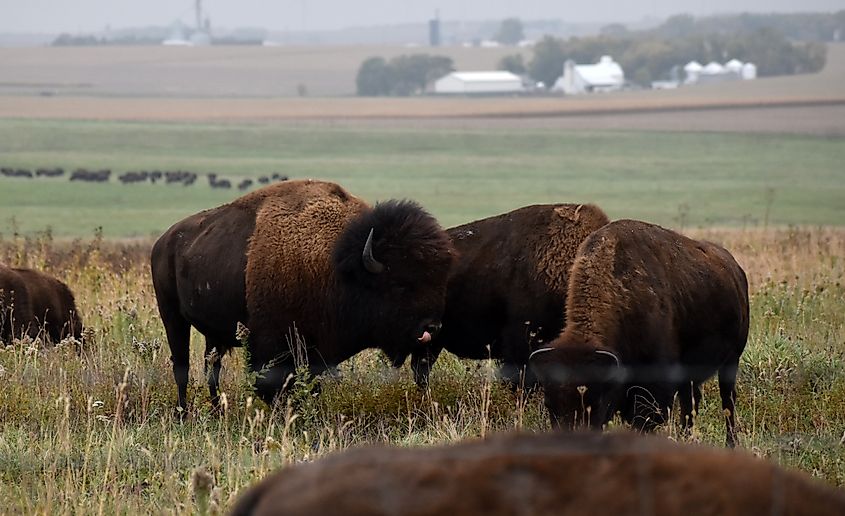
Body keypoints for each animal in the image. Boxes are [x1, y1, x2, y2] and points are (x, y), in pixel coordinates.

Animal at [151, 179, 455, 410]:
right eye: (400, 284)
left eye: (439, 282)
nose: (432, 327)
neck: (337, 265)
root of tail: (164, 241)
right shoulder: (272, 347)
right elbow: (272, 385)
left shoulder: (315, 354)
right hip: (172, 317)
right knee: (182, 367)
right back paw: (183, 413)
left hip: (212, 333)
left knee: (211, 367)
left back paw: (216, 411)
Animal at [530, 220, 749, 446]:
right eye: (549, 405)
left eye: (596, 403)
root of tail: (735, 269)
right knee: (691, 404)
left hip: (732, 360)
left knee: (727, 401)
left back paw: (731, 443)